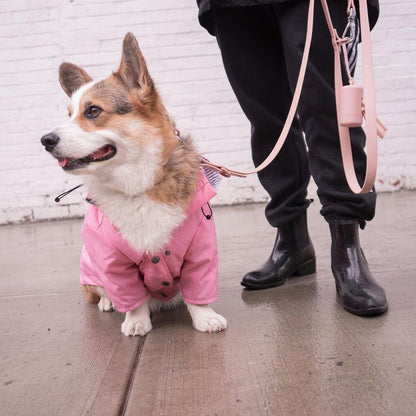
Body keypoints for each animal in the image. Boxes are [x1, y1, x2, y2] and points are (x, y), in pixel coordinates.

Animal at [40, 33, 226, 338]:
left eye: (93, 111)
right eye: (69, 114)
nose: (45, 140)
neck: (137, 185)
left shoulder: (201, 248)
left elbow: (199, 287)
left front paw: (205, 318)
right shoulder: (112, 261)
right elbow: (129, 295)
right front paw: (137, 321)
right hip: (90, 271)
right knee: (102, 292)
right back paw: (107, 303)